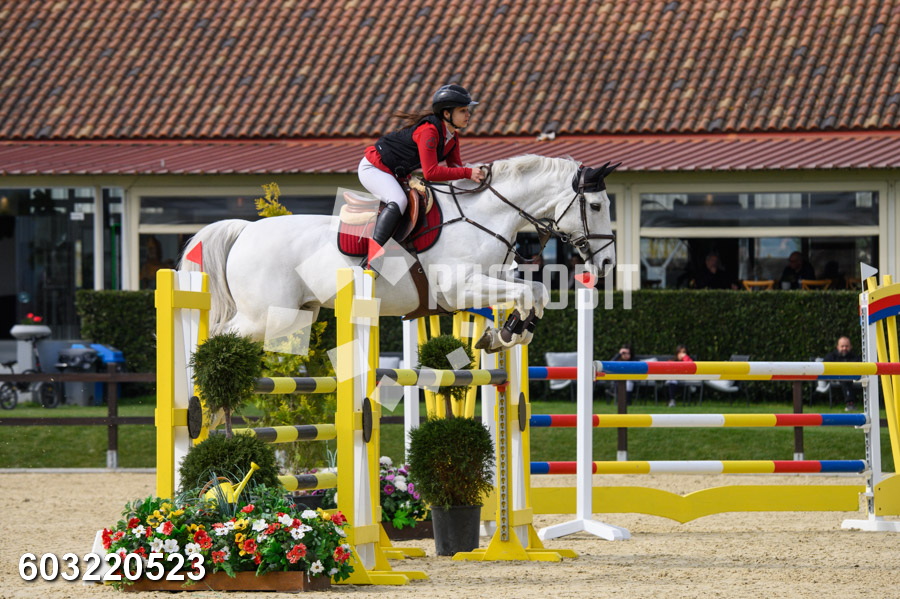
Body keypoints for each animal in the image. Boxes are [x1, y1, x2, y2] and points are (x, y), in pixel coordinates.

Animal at [178, 154, 617, 352]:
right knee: (215, 337)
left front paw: (508, 333)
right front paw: (508, 332)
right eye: (596, 206)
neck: (484, 215)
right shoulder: (458, 290)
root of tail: (245, 231)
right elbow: (527, 292)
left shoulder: (491, 277)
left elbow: (535, 292)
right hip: (265, 314)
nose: (608, 263)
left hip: (295, 314)